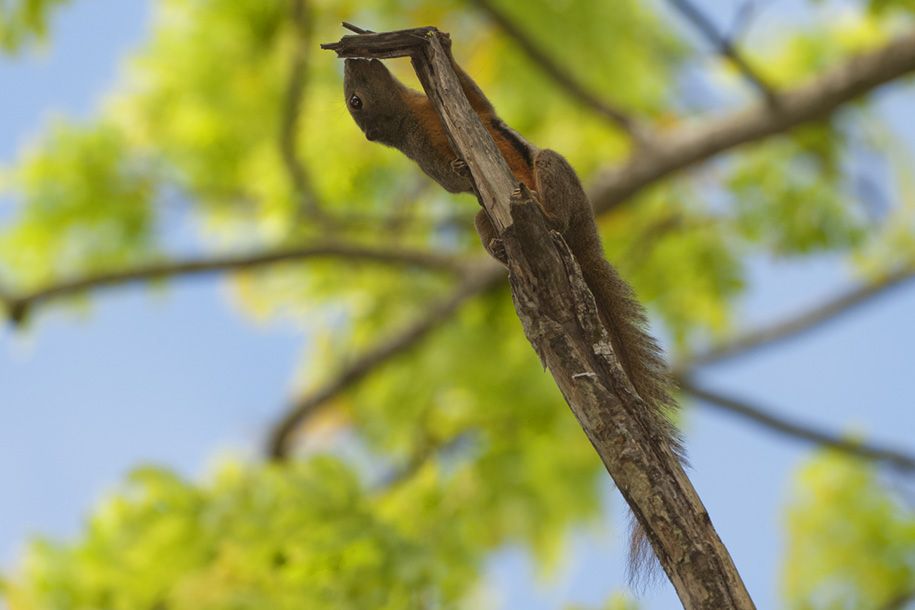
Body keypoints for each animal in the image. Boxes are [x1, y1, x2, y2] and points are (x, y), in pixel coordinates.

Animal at [342, 35, 683, 582]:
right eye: (355, 101)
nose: (354, 57)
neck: (413, 111)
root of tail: (587, 244)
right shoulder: (423, 155)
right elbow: (451, 182)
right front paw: (461, 169)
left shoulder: (478, 114)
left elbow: (479, 102)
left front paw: (437, 48)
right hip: (490, 216)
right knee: (488, 221)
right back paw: (506, 244)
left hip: (549, 167)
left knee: (548, 181)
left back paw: (548, 216)